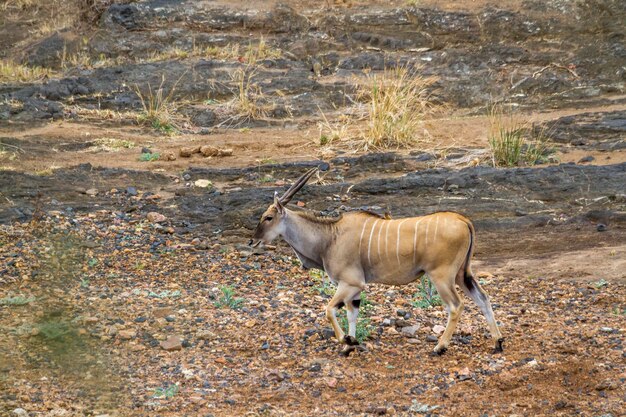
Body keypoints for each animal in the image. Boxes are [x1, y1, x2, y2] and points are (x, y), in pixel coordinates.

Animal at [249, 167, 502, 354]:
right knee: (483, 298)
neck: (330, 237)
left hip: (442, 276)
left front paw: (345, 341)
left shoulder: (351, 283)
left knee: (456, 306)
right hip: (462, 274)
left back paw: (440, 347)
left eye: (268, 217)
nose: (252, 241)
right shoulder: (354, 289)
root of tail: (463, 220)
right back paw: (498, 342)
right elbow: (352, 313)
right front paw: (350, 344)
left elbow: (329, 310)